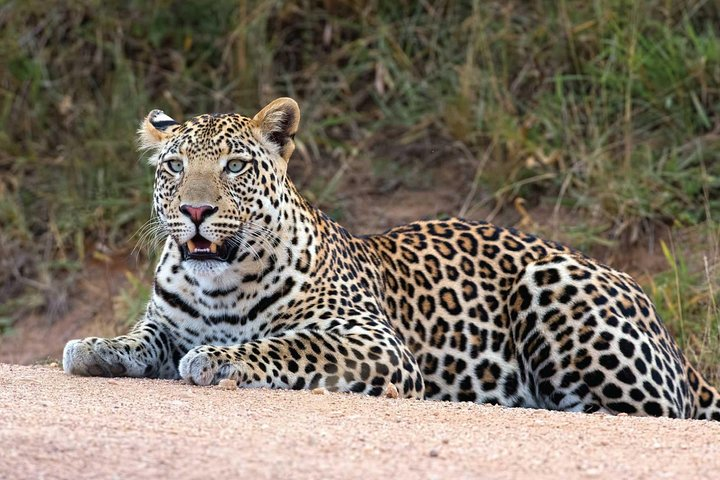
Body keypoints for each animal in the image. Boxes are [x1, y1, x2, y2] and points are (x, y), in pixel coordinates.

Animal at [63, 97, 720, 420]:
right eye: (175, 166)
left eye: (235, 166)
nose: (195, 210)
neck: (218, 284)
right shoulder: (165, 321)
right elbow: (141, 338)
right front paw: (95, 347)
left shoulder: (371, 342)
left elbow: (286, 344)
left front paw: (219, 359)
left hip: (553, 286)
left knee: (654, 411)